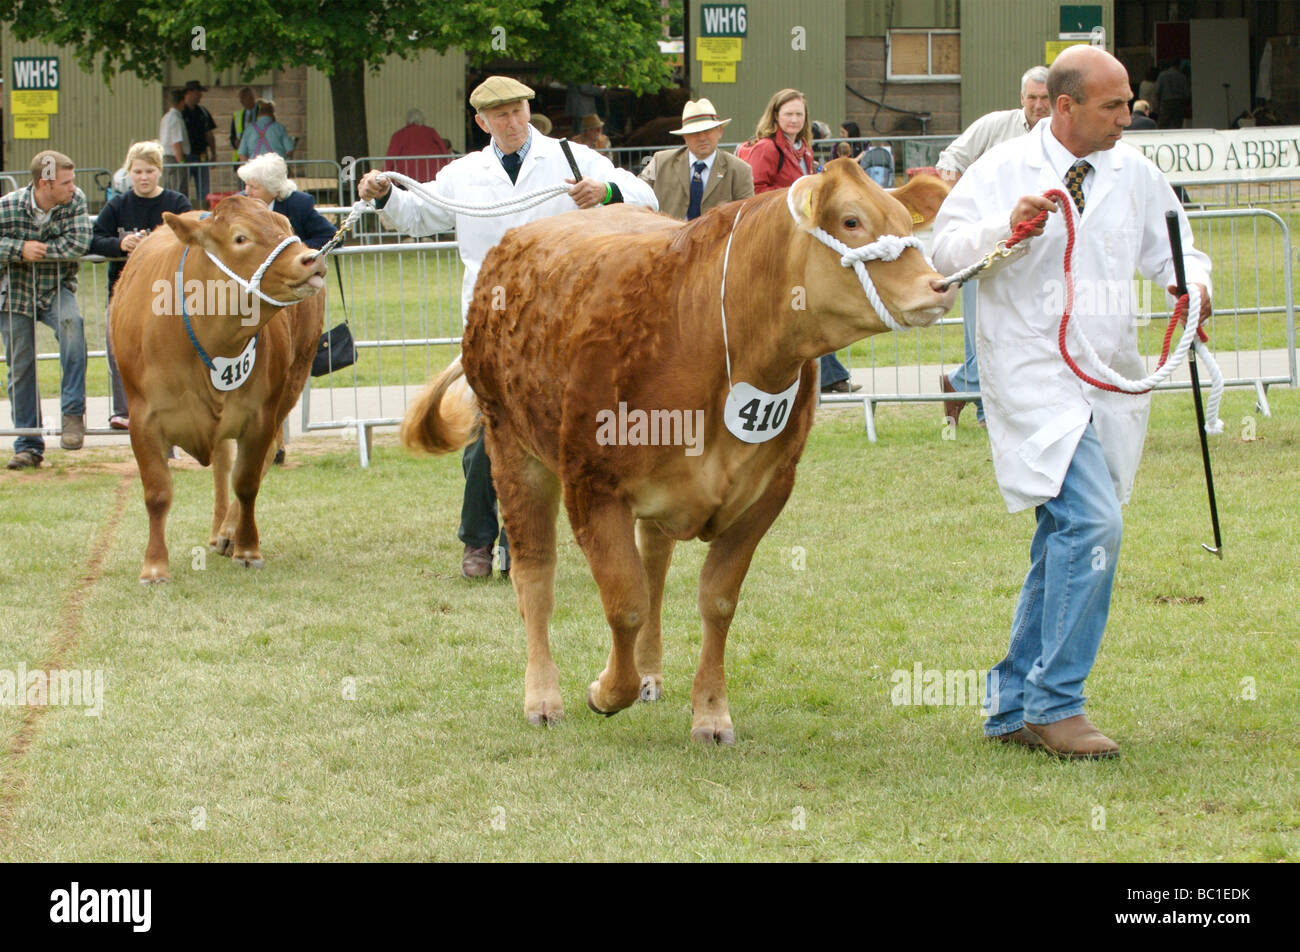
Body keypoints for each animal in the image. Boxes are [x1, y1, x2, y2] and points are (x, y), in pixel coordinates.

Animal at [109, 193, 327, 582]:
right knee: (223, 463)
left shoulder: (260, 415)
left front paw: (247, 548)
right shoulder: (142, 419)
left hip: (292, 382)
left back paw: (228, 532)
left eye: (286, 226)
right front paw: (154, 566)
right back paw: (217, 532)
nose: (310, 258)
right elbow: (157, 492)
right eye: (240, 237)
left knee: (260, 457)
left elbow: (247, 481)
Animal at [400, 159, 951, 743]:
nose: (938, 286)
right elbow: (624, 603)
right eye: (851, 220)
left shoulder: (768, 491)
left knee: (655, 564)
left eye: (904, 221)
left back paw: (648, 673)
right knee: (535, 574)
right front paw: (605, 691)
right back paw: (543, 697)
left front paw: (710, 713)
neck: (713, 334)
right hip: (512, 447)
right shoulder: (591, 486)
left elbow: (715, 601)